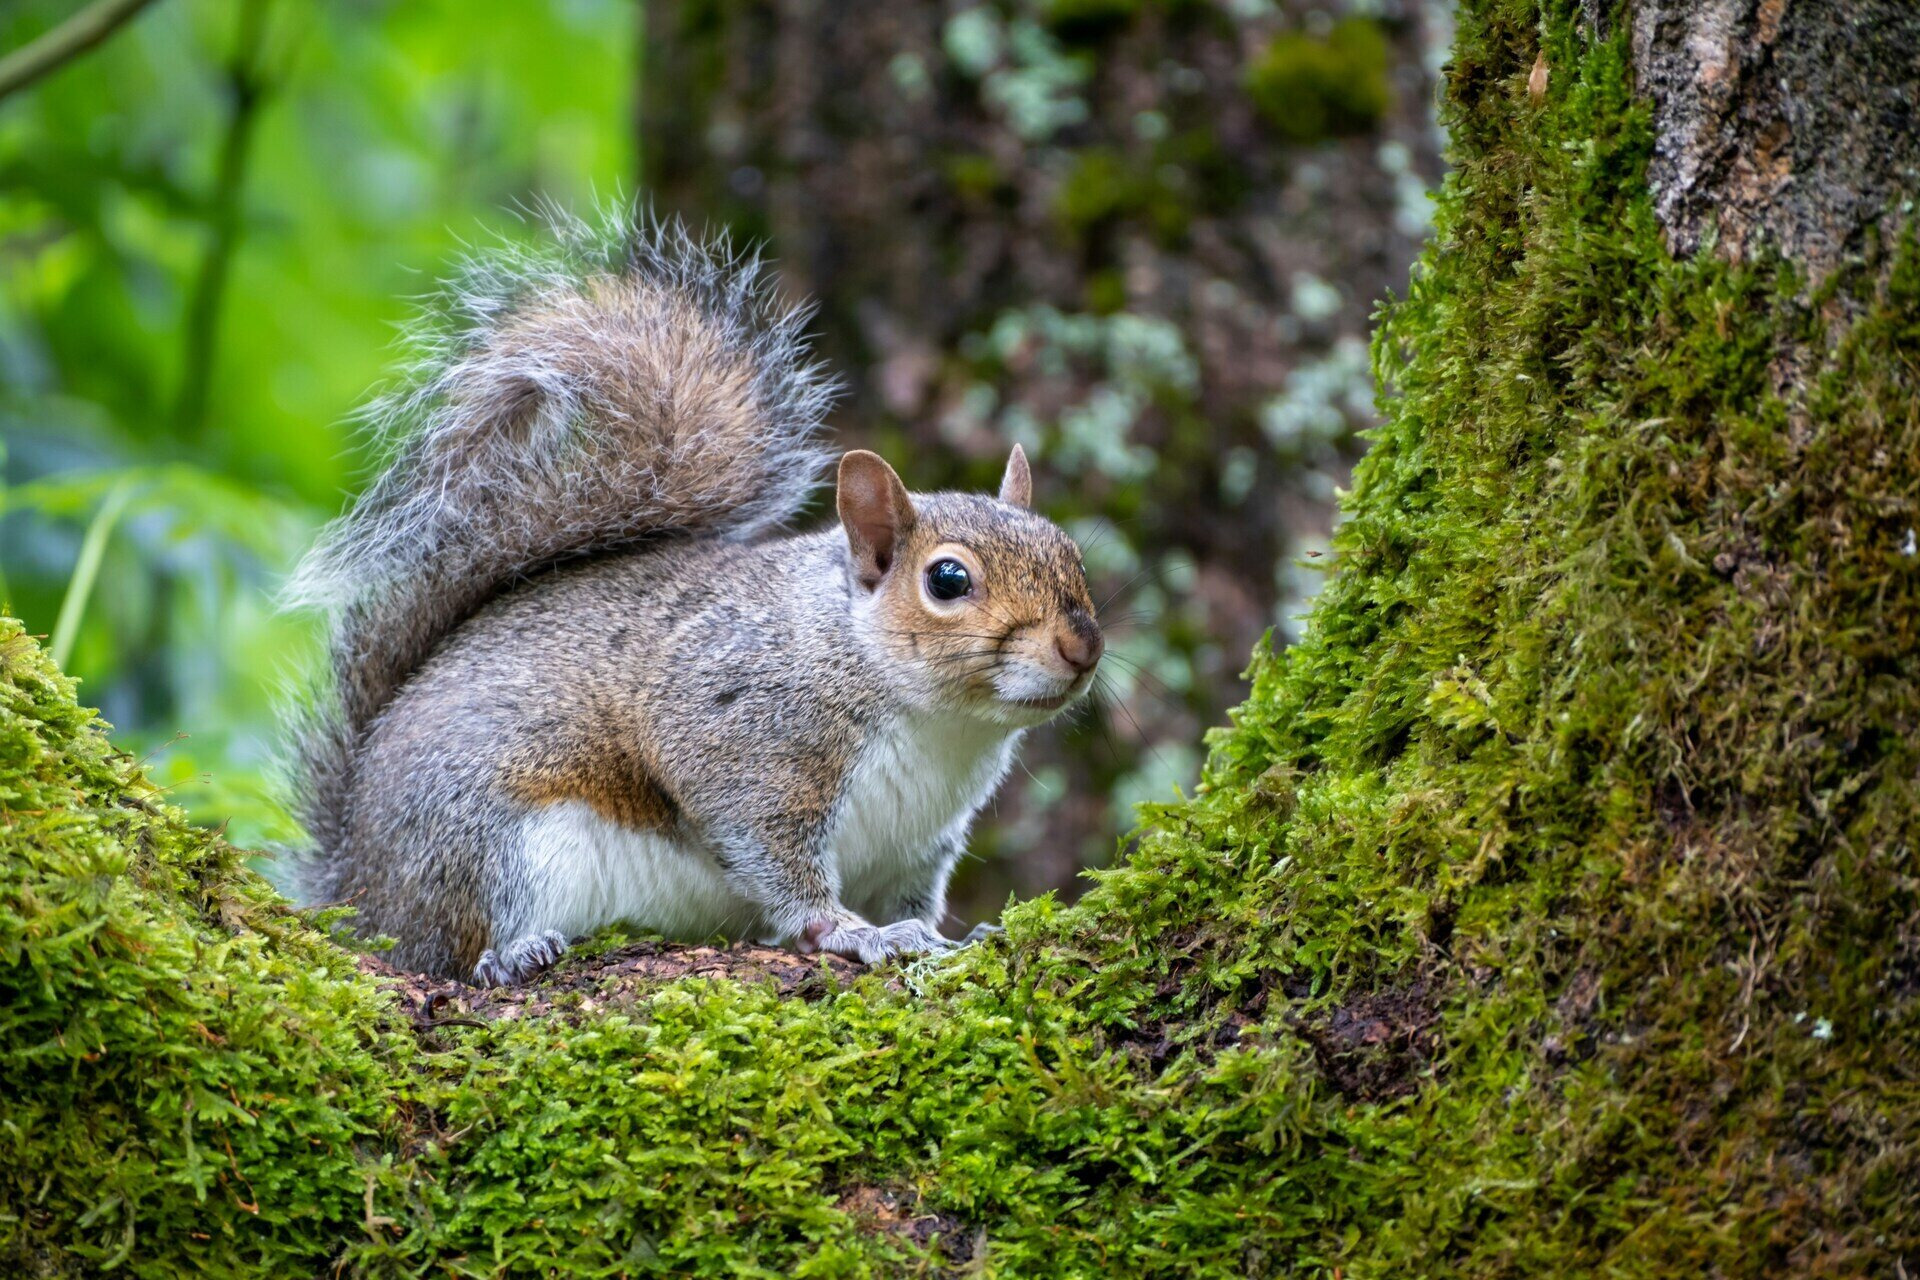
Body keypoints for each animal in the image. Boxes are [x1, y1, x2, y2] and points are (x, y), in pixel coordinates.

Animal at [278, 214, 1105, 990]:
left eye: (1071, 552)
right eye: (948, 581)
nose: (1083, 647)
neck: (937, 722)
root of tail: (356, 885)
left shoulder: (920, 838)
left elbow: (914, 898)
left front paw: (950, 935)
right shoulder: (738, 737)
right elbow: (772, 858)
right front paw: (849, 932)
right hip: (488, 845)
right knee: (454, 944)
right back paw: (509, 954)